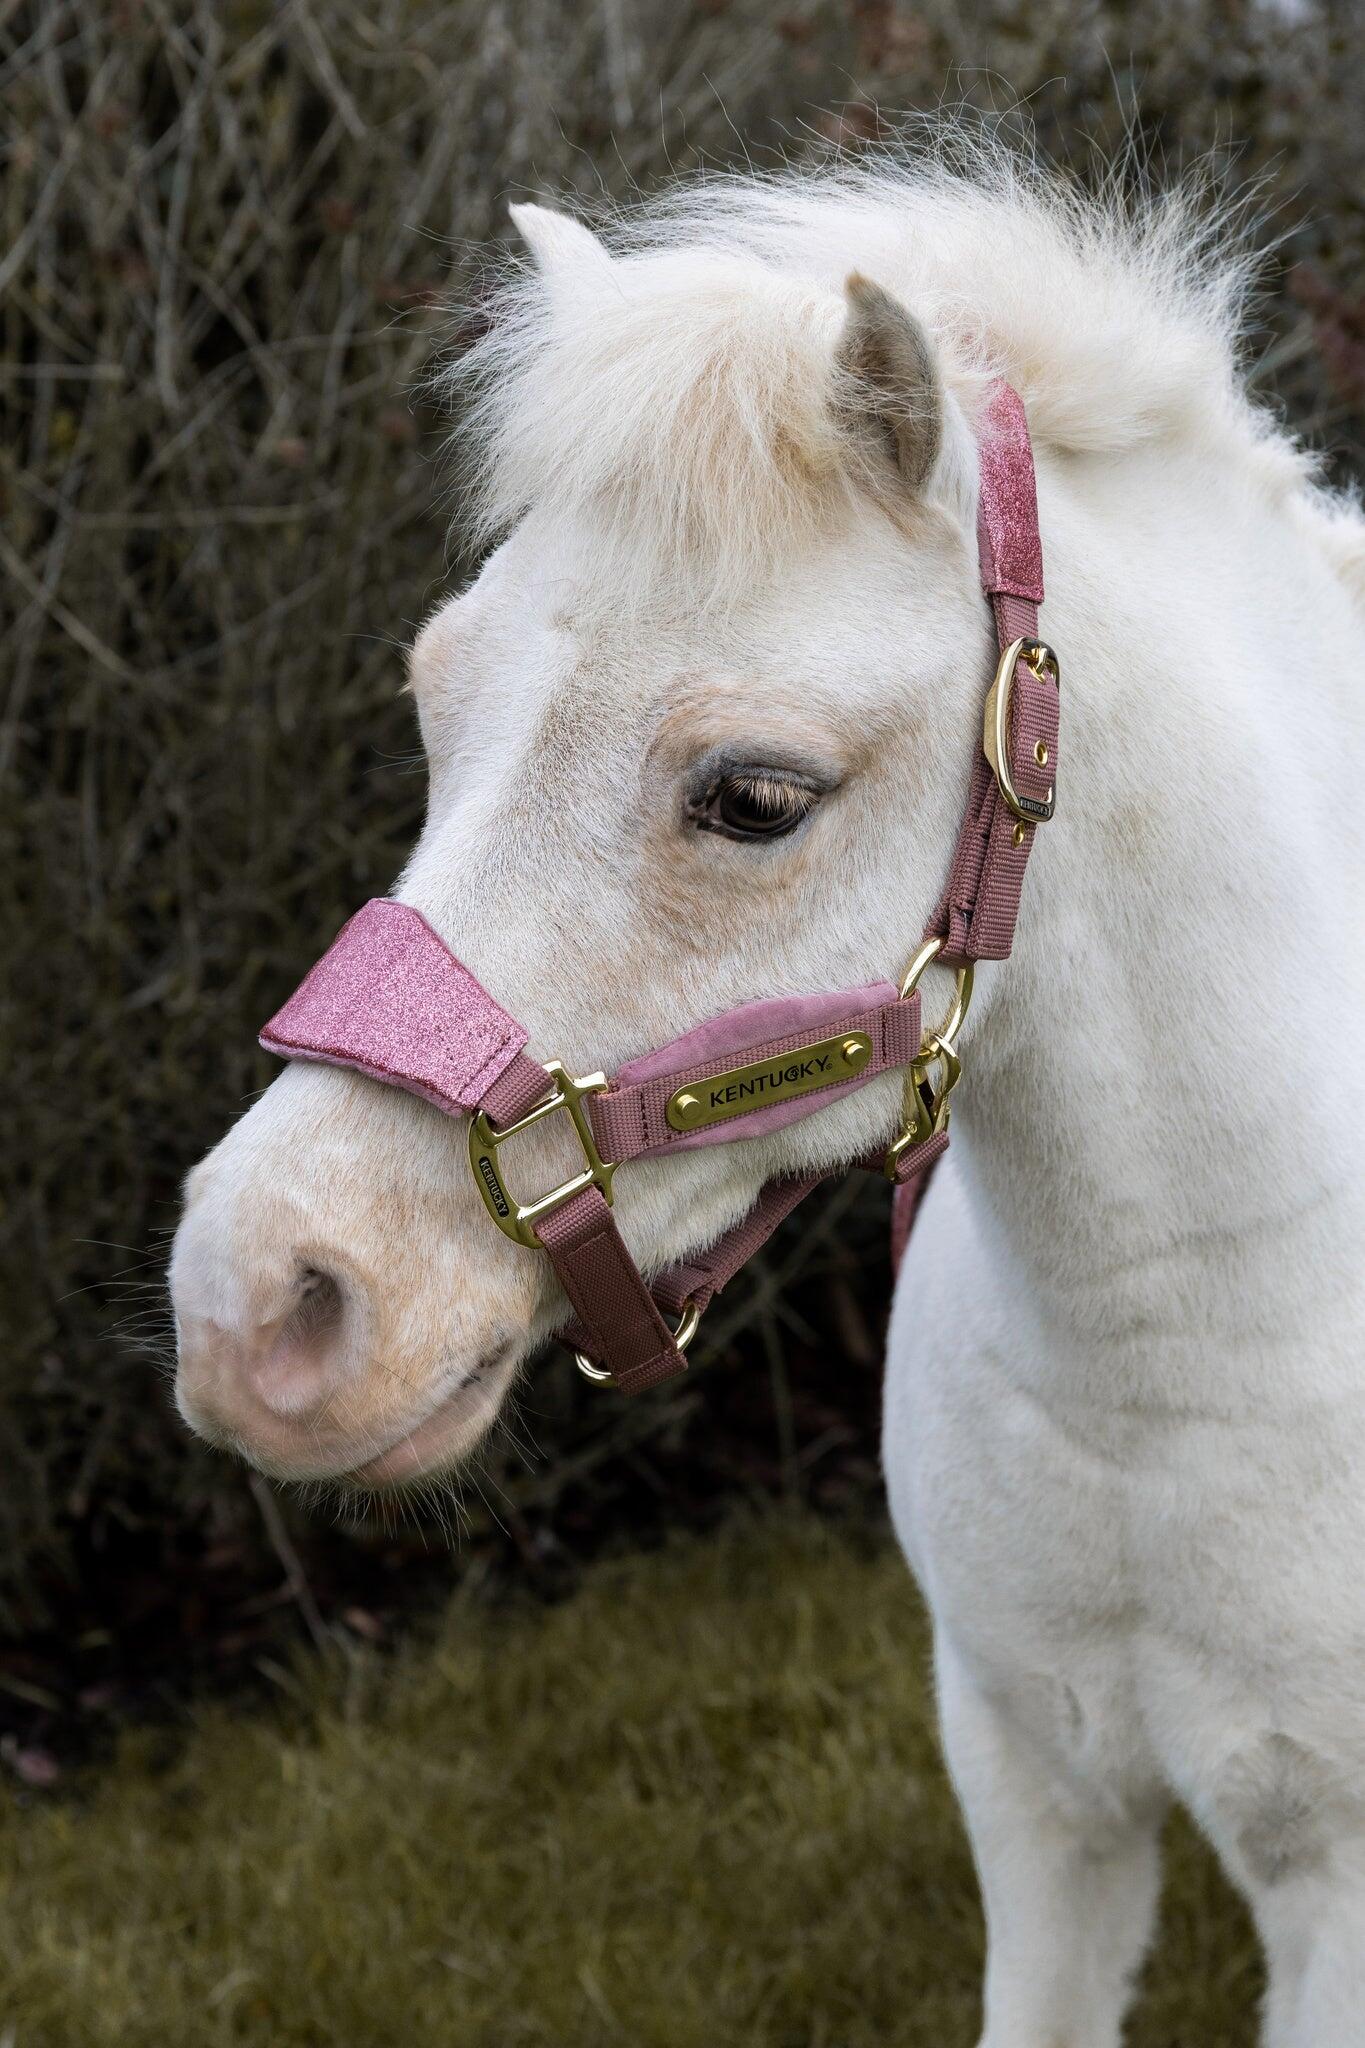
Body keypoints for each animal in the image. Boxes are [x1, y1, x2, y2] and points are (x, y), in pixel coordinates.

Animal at [169, 146, 1365, 2045]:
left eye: (755, 797)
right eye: (436, 698)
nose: (256, 1303)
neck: (1171, 1361)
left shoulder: (1330, 1887)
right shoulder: (1035, 1785)